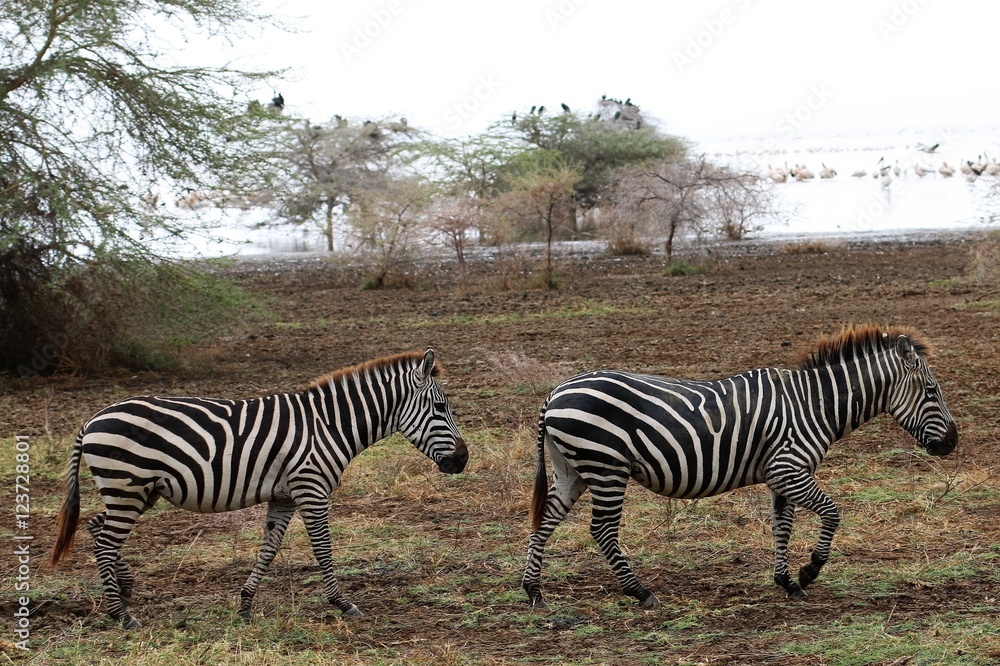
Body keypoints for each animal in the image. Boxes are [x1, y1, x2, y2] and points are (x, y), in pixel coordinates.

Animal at [50, 349, 468, 629]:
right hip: (128, 486)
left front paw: (245, 604)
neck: (330, 425)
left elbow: (269, 549)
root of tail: (91, 419)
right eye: (440, 407)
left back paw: (124, 590)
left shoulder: (283, 497)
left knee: (96, 529)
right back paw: (122, 614)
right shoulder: (312, 489)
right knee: (105, 542)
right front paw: (341, 603)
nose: (463, 460)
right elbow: (323, 549)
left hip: (134, 490)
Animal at [522, 325, 958, 608]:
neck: (815, 405)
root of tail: (554, 394)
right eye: (932, 391)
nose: (953, 441)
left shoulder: (780, 476)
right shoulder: (788, 468)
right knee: (602, 530)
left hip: (573, 470)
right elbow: (832, 514)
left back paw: (534, 592)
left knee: (545, 522)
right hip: (606, 467)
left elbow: (783, 527)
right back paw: (640, 592)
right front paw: (809, 571)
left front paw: (786, 582)